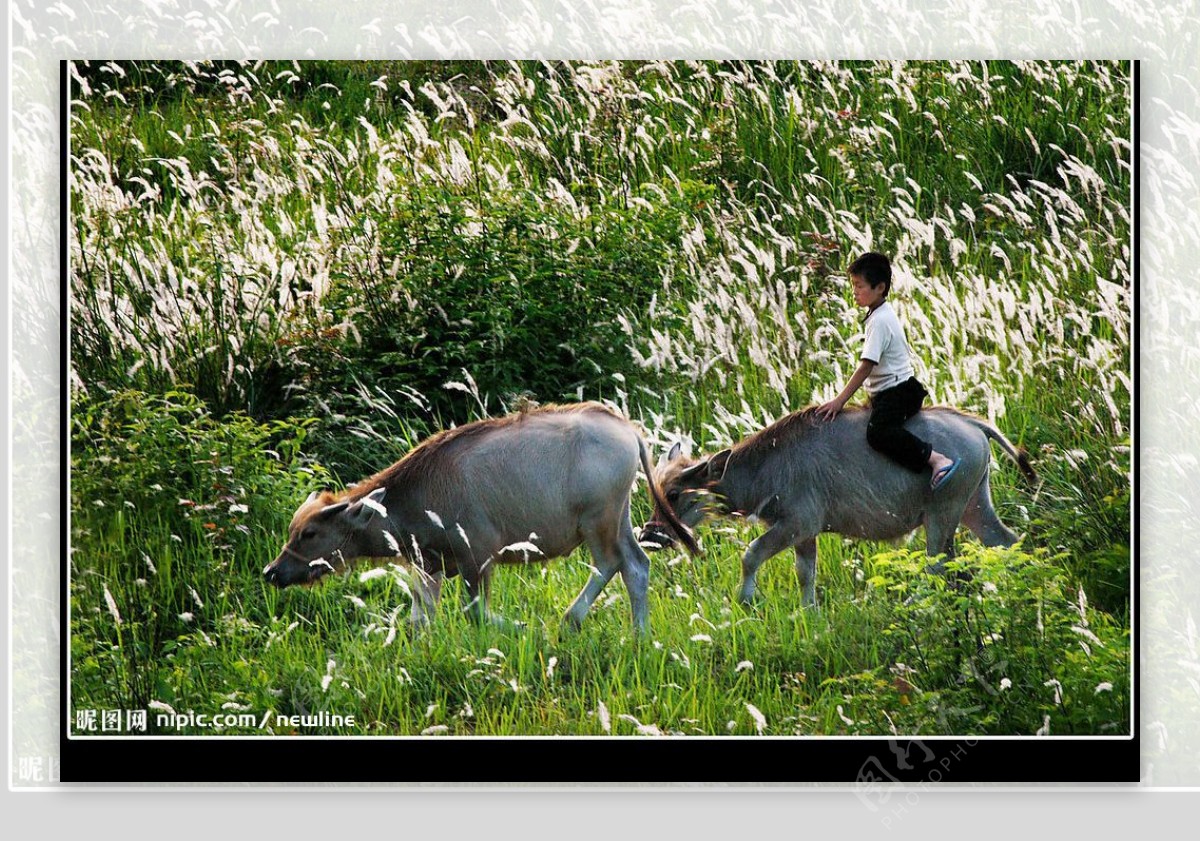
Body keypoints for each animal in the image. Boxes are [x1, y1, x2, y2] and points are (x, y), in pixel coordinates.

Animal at [262, 403, 696, 633]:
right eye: (294, 530)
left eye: (310, 533)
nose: (271, 571)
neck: (416, 494)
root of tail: (624, 427)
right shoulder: (429, 566)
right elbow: (420, 620)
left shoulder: (477, 560)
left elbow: (477, 614)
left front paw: (523, 628)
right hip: (618, 520)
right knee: (635, 565)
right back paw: (638, 634)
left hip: (597, 521)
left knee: (610, 564)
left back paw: (574, 620)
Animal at [643, 407, 1036, 609]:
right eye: (656, 493)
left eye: (674, 494)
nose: (650, 536)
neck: (769, 463)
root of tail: (972, 422)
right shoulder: (805, 535)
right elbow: (806, 574)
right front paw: (808, 613)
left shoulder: (796, 525)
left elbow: (750, 555)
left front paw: (746, 601)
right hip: (973, 507)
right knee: (1007, 541)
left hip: (943, 516)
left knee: (938, 565)